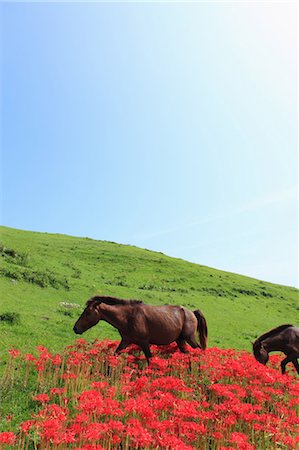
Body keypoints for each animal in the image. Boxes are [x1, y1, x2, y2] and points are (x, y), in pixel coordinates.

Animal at [74, 296, 207, 362]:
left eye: (87, 313)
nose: (75, 328)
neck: (127, 317)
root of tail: (192, 312)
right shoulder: (125, 341)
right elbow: (114, 355)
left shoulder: (144, 342)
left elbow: (150, 360)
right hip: (180, 340)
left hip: (189, 338)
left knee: (199, 350)